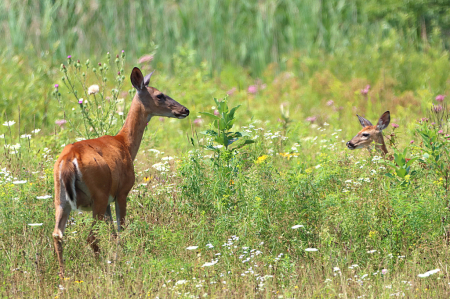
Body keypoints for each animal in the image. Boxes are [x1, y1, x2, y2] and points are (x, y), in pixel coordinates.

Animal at [51, 67, 189, 278]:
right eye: (160, 95)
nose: (184, 110)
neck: (125, 144)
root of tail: (69, 159)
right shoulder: (122, 191)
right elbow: (121, 229)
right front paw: (119, 261)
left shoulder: (109, 200)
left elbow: (113, 233)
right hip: (97, 194)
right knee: (91, 236)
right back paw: (101, 269)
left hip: (61, 198)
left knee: (58, 235)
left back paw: (63, 275)